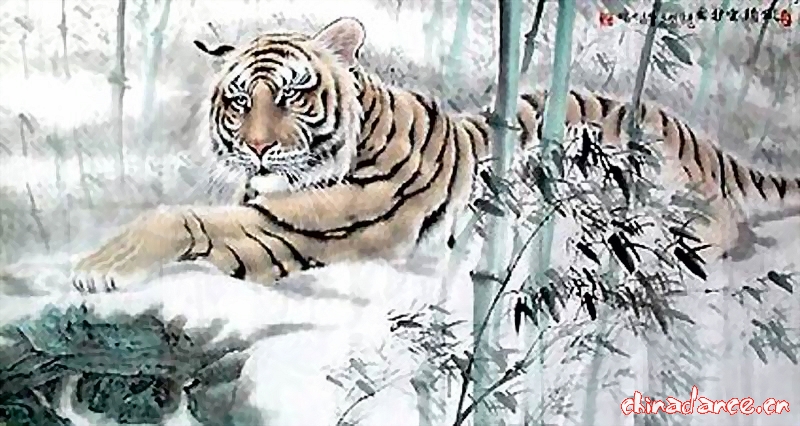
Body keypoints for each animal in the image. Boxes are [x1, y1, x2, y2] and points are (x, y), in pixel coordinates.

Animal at [70, 16, 799, 292]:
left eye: (292, 96)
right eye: (239, 102)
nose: (257, 149)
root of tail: (680, 124)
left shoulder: (292, 235)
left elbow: (181, 217)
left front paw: (98, 267)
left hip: (661, 182)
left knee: (723, 216)